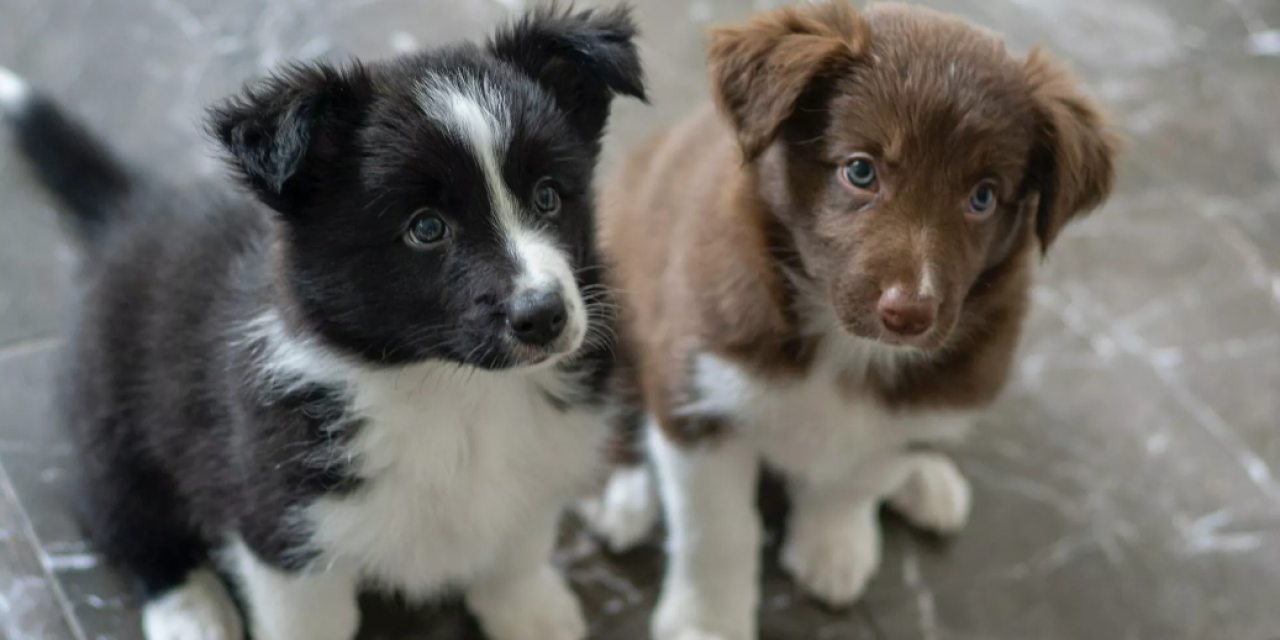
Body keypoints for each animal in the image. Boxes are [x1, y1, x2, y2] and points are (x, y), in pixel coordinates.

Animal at [0, 6, 640, 640]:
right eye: (426, 228)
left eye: (548, 196)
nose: (545, 316)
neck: (452, 391)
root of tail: (137, 210)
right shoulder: (281, 522)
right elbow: (307, 618)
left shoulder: (542, 464)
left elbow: (518, 548)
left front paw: (533, 612)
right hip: (113, 424)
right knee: (125, 521)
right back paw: (191, 613)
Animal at [581, 1, 1121, 640]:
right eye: (860, 172)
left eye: (983, 197)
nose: (909, 313)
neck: (842, 343)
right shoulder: (699, 395)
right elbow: (716, 532)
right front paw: (706, 622)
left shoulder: (920, 397)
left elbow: (858, 477)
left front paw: (832, 545)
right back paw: (620, 491)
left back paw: (927, 475)